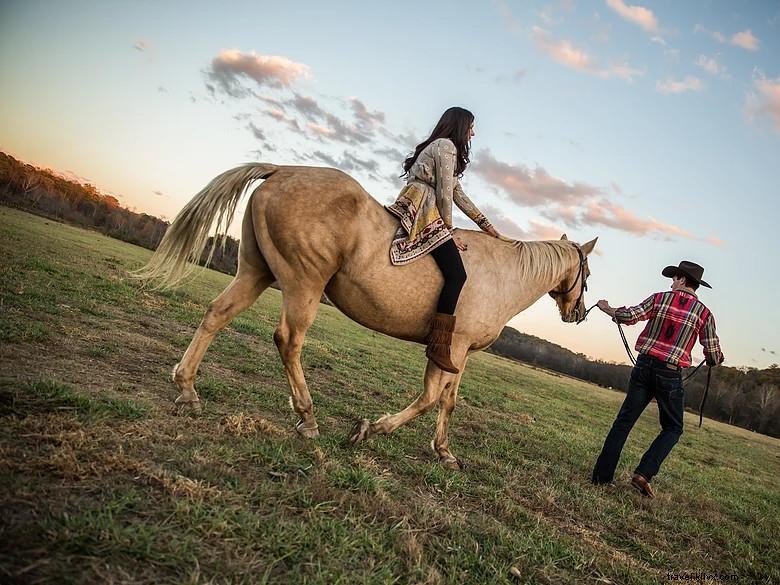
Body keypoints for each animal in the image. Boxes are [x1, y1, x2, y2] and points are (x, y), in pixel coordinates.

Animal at [138, 163, 597, 468]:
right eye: (588, 273)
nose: (577, 313)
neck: (503, 275)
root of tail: (283, 170)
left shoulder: (461, 353)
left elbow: (448, 401)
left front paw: (444, 451)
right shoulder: (451, 346)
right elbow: (430, 398)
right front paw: (369, 430)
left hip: (256, 272)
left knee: (217, 315)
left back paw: (187, 389)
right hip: (303, 283)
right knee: (289, 340)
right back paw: (307, 418)